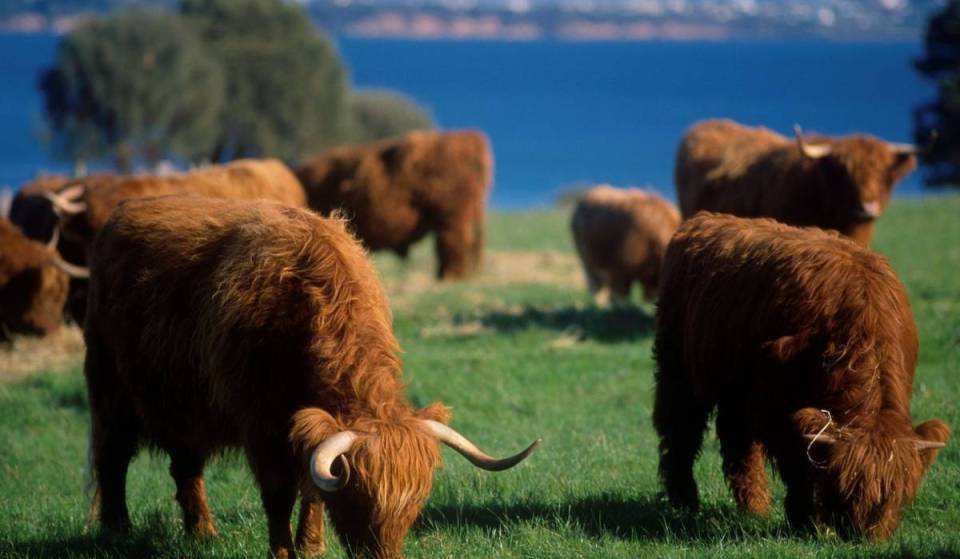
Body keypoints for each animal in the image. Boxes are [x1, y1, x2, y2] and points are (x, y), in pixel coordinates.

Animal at [83, 195, 540, 558]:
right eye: (359, 501)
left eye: (416, 505)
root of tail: (124, 211)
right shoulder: (262, 426)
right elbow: (279, 493)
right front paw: (283, 552)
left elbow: (312, 488)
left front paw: (312, 546)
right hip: (111, 390)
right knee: (112, 457)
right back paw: (117, 531)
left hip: (186, 408)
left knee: (185, 468)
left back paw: (203, 534)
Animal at [652, 212, 949, 541]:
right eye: (845, 488)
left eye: (895, 494)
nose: (862, 535)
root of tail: (704, 220)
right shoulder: (777, 406)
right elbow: (797, 465)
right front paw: (805, 520)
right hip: (678, 370)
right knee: (680, 430)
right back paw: (684, 500)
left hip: (736, 388)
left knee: (736, 440)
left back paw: (755, 507)